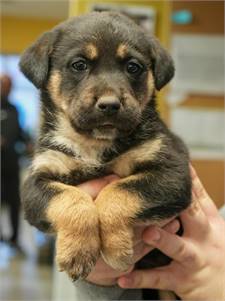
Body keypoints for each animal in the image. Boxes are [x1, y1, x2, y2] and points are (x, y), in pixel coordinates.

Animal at [19, 10, 192, 280]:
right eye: (79, 65)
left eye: (133, 67)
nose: (110, 105)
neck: (94, 143)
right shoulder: (36, 182)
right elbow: (70, 199)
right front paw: (77, 253)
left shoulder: (172, 172)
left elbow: (118, 192)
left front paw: (116, 250)